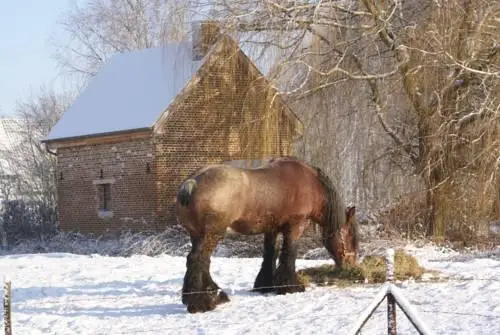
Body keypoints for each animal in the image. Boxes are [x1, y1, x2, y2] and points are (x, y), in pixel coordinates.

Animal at [176, 156, 360, 314]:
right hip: (211, 234)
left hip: (198, 236)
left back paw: (213, 295)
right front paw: (291, 286)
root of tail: (193, 182)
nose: (351, 266)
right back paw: (202, 302)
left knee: (199, 262)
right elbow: (289, 254)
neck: (310, 184)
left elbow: (270, 253)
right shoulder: (295, 226)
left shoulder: (272, 229)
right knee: (198, 260)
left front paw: (265, 285)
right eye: (351, 237)